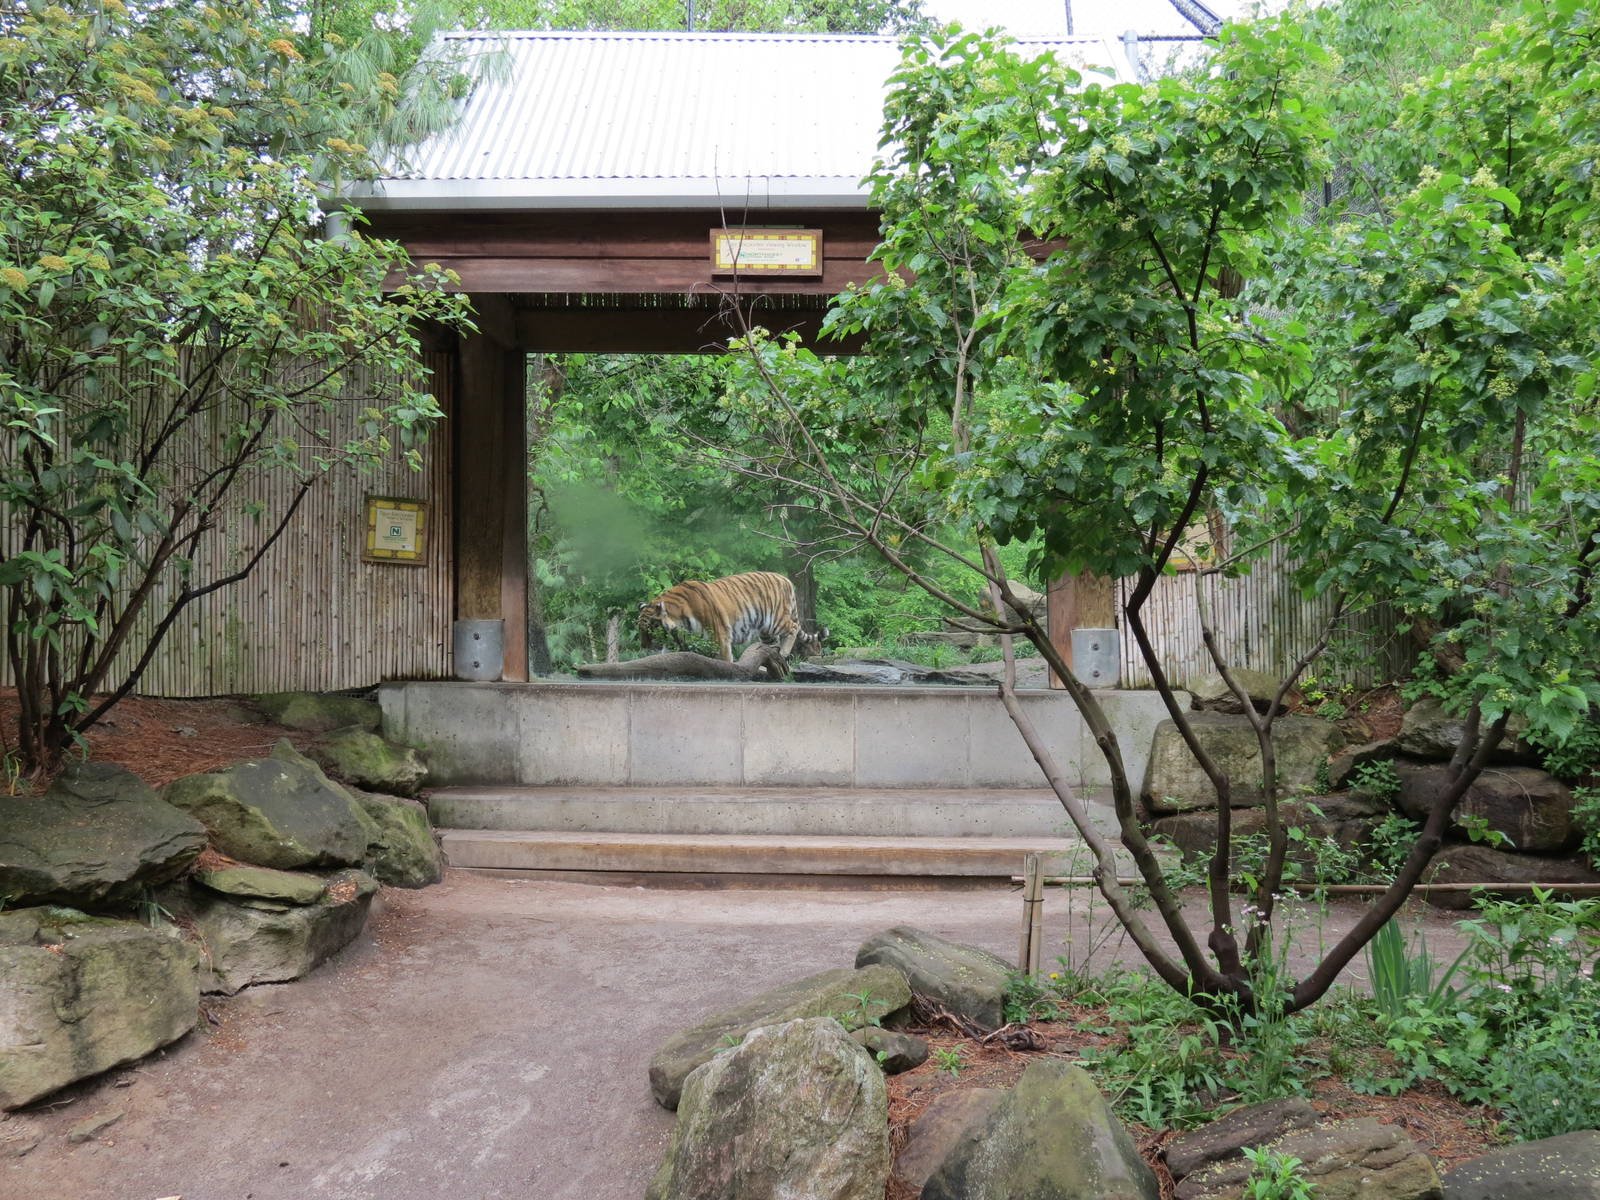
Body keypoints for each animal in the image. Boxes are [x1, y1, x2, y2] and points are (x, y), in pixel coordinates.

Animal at [637, 570, 825, 663]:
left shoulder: (719, 635)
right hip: (766, 631)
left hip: (775, 620)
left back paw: (784, 652)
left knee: (793, 627)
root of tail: (786, 580)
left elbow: (725, 658)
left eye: (650, 629)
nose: (644, 646)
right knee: (773, 642)